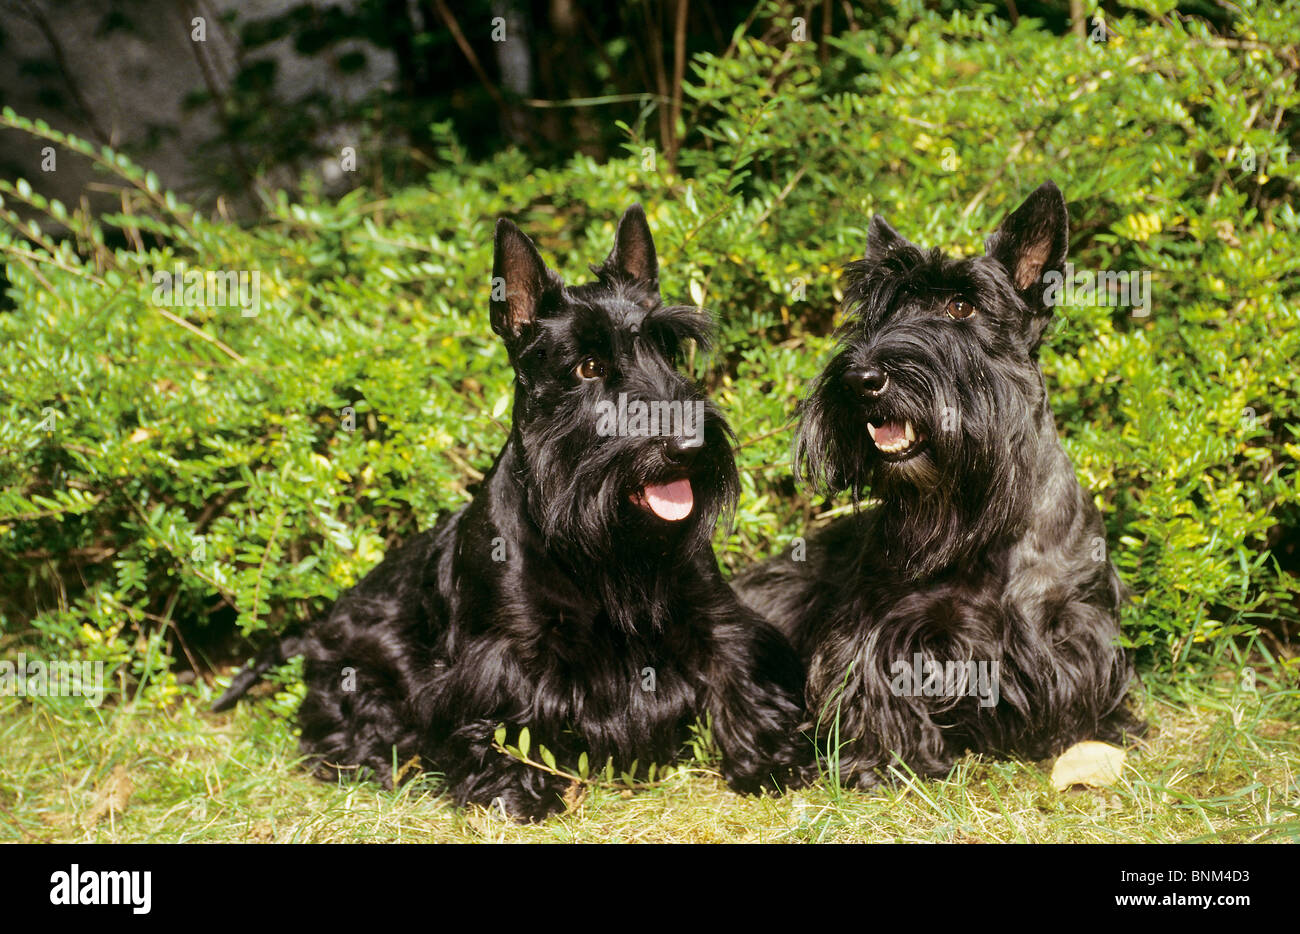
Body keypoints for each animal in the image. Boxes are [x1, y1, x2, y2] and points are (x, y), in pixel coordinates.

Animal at [220, 202, 811, 822]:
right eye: (589, 367)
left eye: (668, 350)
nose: (690, 445)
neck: (602, 544)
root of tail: (316, 628)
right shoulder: (507, 655)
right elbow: (510, 723)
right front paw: (516, 790)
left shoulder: (713, 618)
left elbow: (736, 672)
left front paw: (771, 759)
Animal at [738, 184, 1144, 790]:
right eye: (878, 311)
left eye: (960, 306)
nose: (860, 379)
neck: (988, 522)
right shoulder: (883, 632)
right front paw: (881, 761)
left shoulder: (1075, 621)